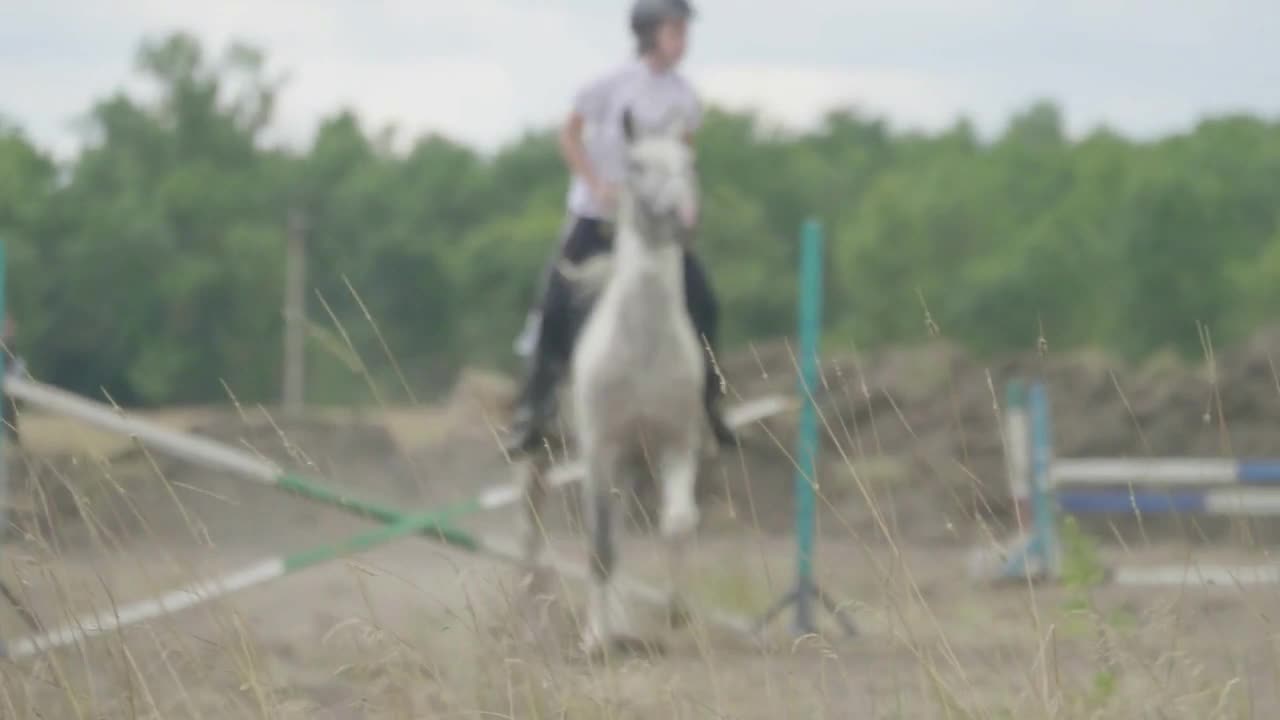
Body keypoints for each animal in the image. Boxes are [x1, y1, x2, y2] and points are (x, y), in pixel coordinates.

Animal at [514, 107, 706, 655]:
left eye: (689, 163)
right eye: (636, 165)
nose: (683, 216)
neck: (642, 345)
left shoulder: (674, 444)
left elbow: (677, 523)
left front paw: (676, 612)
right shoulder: (598, 450)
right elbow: (598, 544)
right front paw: (595, 639)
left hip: (627, 462)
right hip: (547, 450)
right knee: (534, 521)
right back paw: (535, 606)